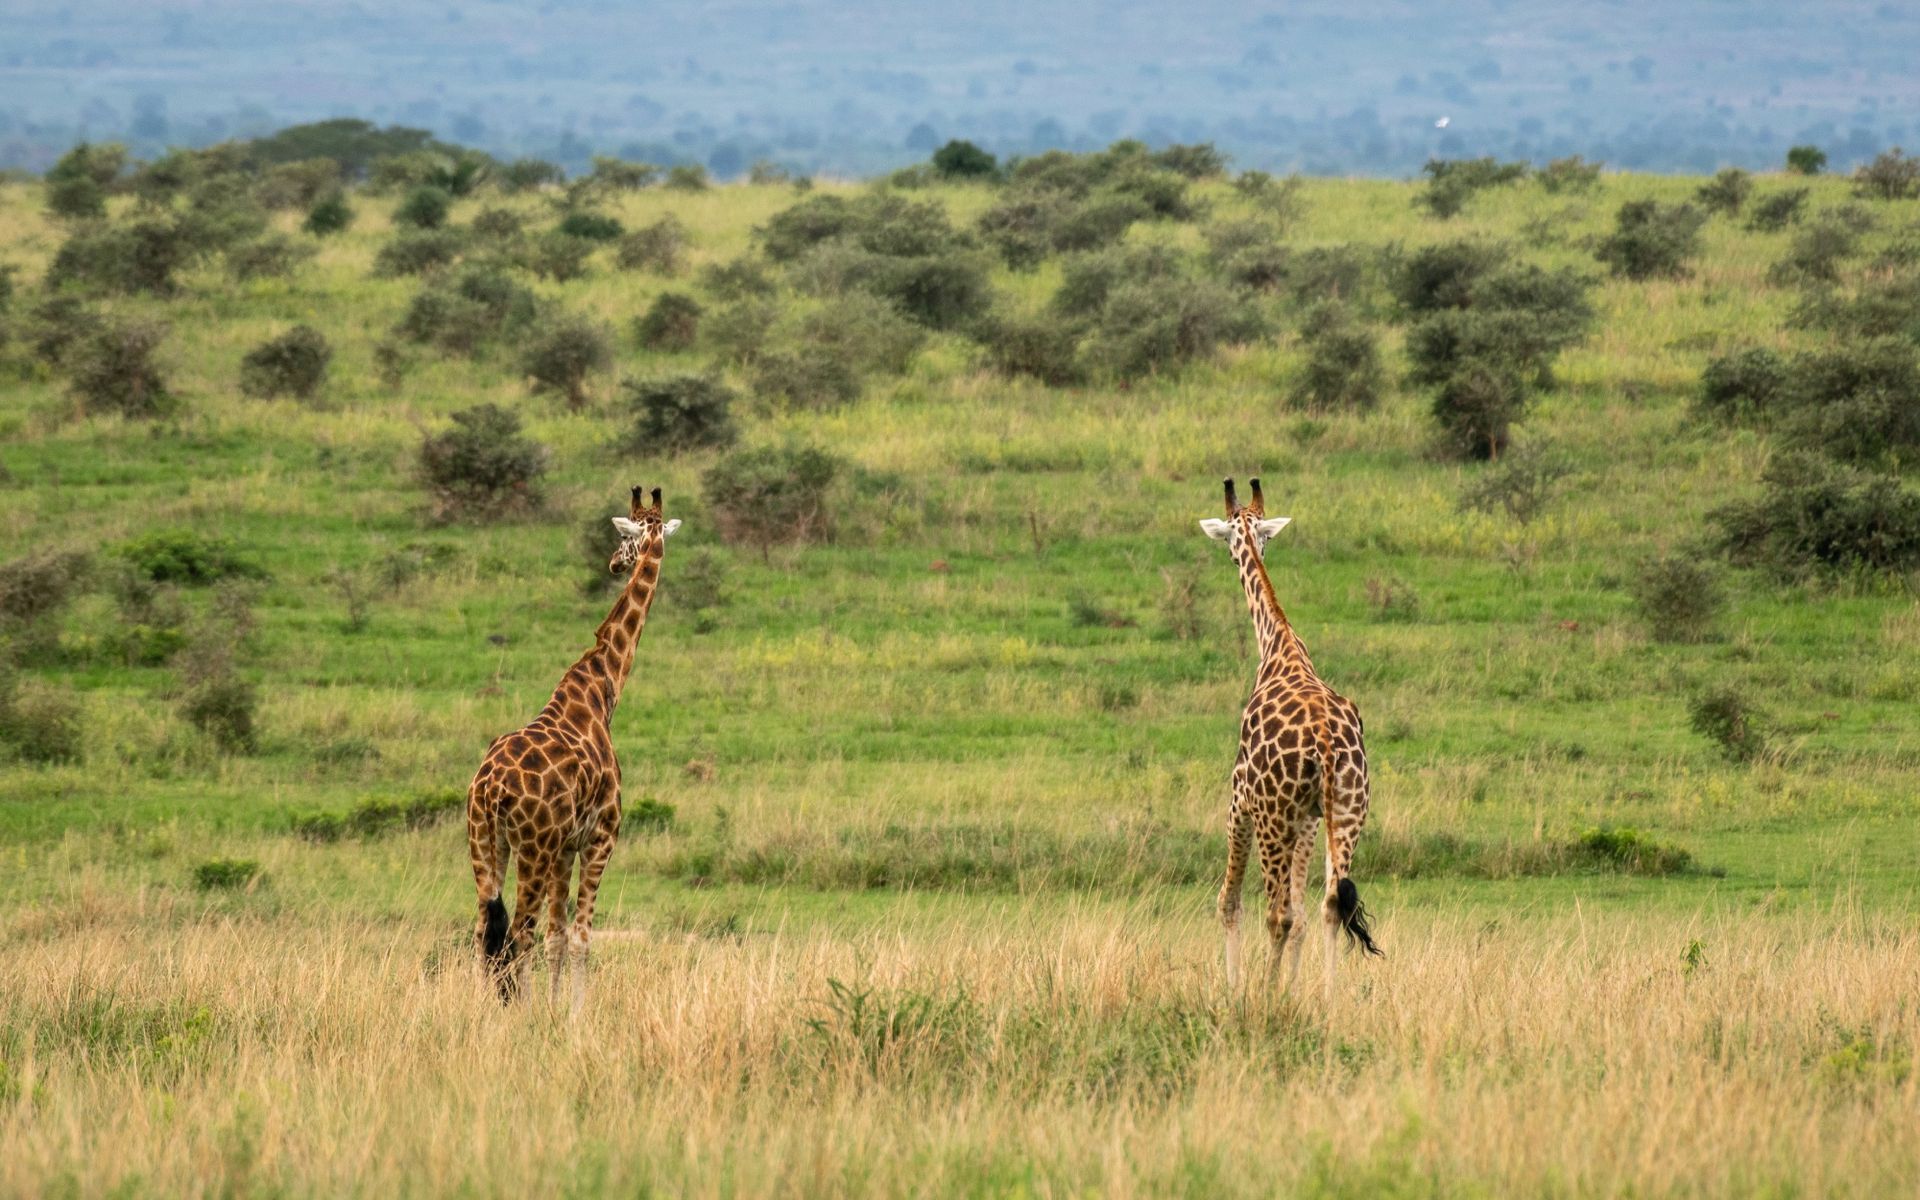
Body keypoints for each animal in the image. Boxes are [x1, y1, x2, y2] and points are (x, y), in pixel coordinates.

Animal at [466, 485, 681, 1008]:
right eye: (625, 535)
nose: (614, 563)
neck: (602, 688)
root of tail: (489, 789)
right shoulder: (600, 837)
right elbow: (581, 936)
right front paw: (574, 1014)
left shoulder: (566, 847)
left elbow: (558, 936)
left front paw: (554, 1005)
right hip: (532, 848)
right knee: (517, 932)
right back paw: (517, 1011)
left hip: (487, 842)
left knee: (484, 928)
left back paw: (480, 1010)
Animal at [1200, 477, 1381, 999]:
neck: (1278, 644)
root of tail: (1324, 741)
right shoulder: (1309, 819)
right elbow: (1303, 915)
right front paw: (1293, 989)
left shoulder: (1240, 799)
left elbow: (1230, 900)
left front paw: (1238, 990)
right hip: (1349, 810)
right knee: (1329, 904)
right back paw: (1328, 998)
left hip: (1272, 817)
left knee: (1276, 912)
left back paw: (1263, 994)